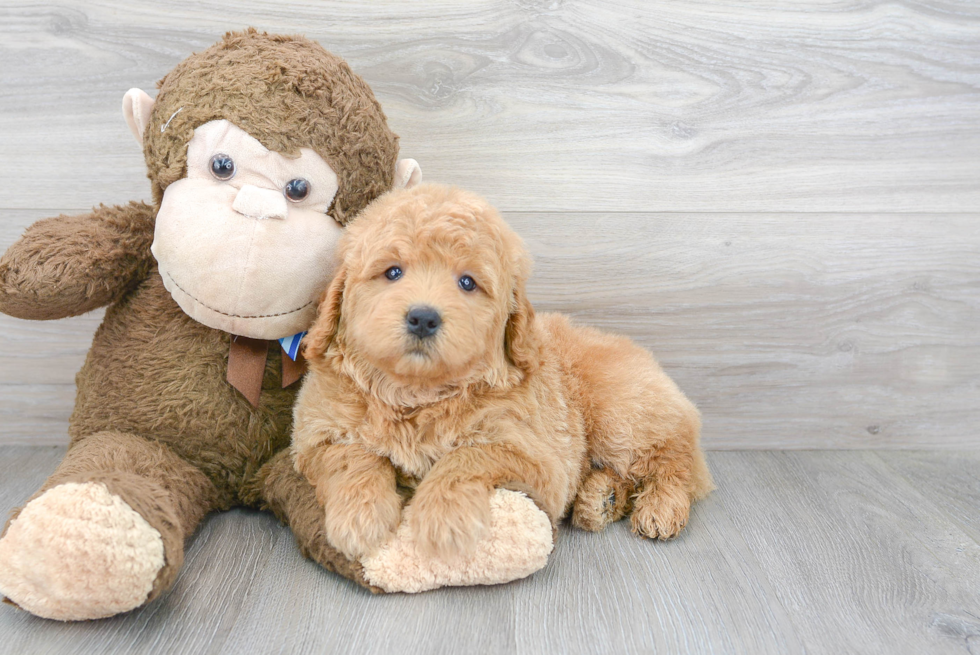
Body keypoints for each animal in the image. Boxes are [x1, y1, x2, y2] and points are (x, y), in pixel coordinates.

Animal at [290, 182, 712, 560]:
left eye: (467, 283)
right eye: (392, 272)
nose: (423, 318)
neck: (417, 393)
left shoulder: (538, 457)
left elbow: (467, 457)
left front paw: (444, 520)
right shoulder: (314, 436)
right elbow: (353, 455)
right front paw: (359, 516)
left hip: (622, 416)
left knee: (677, 461)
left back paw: (661, 507)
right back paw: (602, 498)